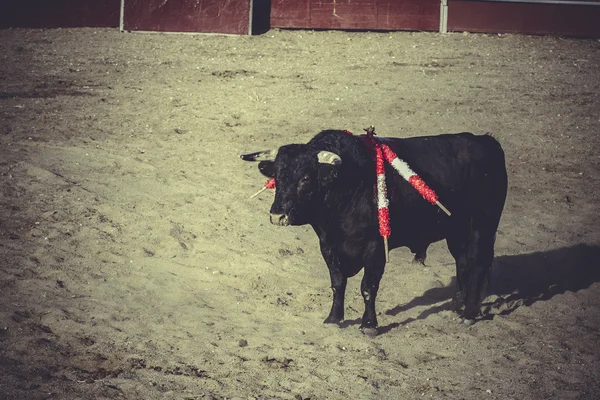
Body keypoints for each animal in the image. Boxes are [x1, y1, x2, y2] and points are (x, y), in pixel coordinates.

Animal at [240, 130, 506, 336]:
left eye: (305, 178)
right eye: (277, 176)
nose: (277, 216)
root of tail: (486, 142)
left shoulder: (375, 248)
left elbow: (368, 287)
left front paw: (369, 325)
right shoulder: (327, 245)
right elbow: (337, 283)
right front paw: (333, 318)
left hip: (483, 225)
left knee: (478, 263)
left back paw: (469, 313)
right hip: (457, 231)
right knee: (463, 262)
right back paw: (457, 303)